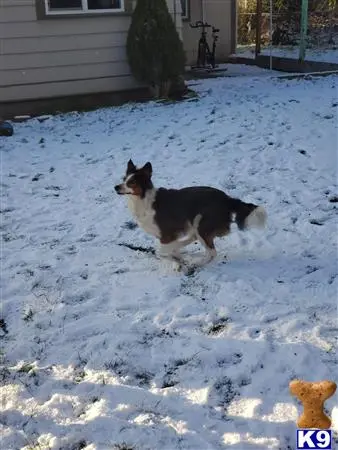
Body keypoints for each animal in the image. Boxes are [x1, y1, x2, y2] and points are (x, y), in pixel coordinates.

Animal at [115, 160, 268, 268]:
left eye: (132, 182)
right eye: (124, 179)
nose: (116, 187)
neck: (143, 199)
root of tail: (228, 199)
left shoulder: (167, 234)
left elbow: (161, 251)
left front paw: (177, 259)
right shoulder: (169, 235)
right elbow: (170, 251)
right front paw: (177, 257)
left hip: (202, 224)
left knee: (212, 252)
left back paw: (197, 262)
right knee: (201, 243)